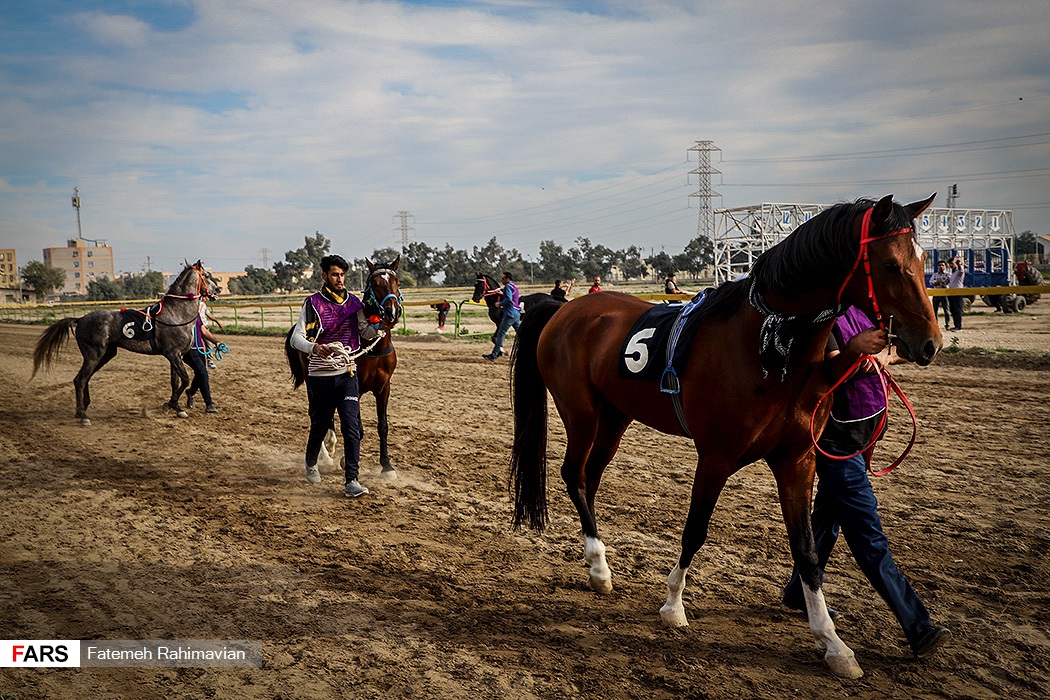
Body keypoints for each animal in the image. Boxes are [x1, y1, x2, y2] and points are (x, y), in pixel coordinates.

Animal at [283, 256, 401, 476]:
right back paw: (325, 454)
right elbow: (357, 427)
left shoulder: (384, 387)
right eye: (375, 283)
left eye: (396, 281)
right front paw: (346, 460)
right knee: (316, 414)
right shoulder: (357, 388)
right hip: (313, 381)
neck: (373, 348)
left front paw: (387, 466)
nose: (393, 311)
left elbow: (383, 426)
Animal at [503, 193, 940, 680]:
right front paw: (673, 606)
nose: (929, 343)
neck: (770, 349)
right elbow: (695, 530)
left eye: (924, 260)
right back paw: (599, 569)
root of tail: (563, 309)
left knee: (590, 477)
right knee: (573, 473)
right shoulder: (715, 456)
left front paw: (834, 644)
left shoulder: (797, 459)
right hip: (581, 414)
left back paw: (597, 562)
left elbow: (807, 550)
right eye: (889, 265)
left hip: (616, 419)